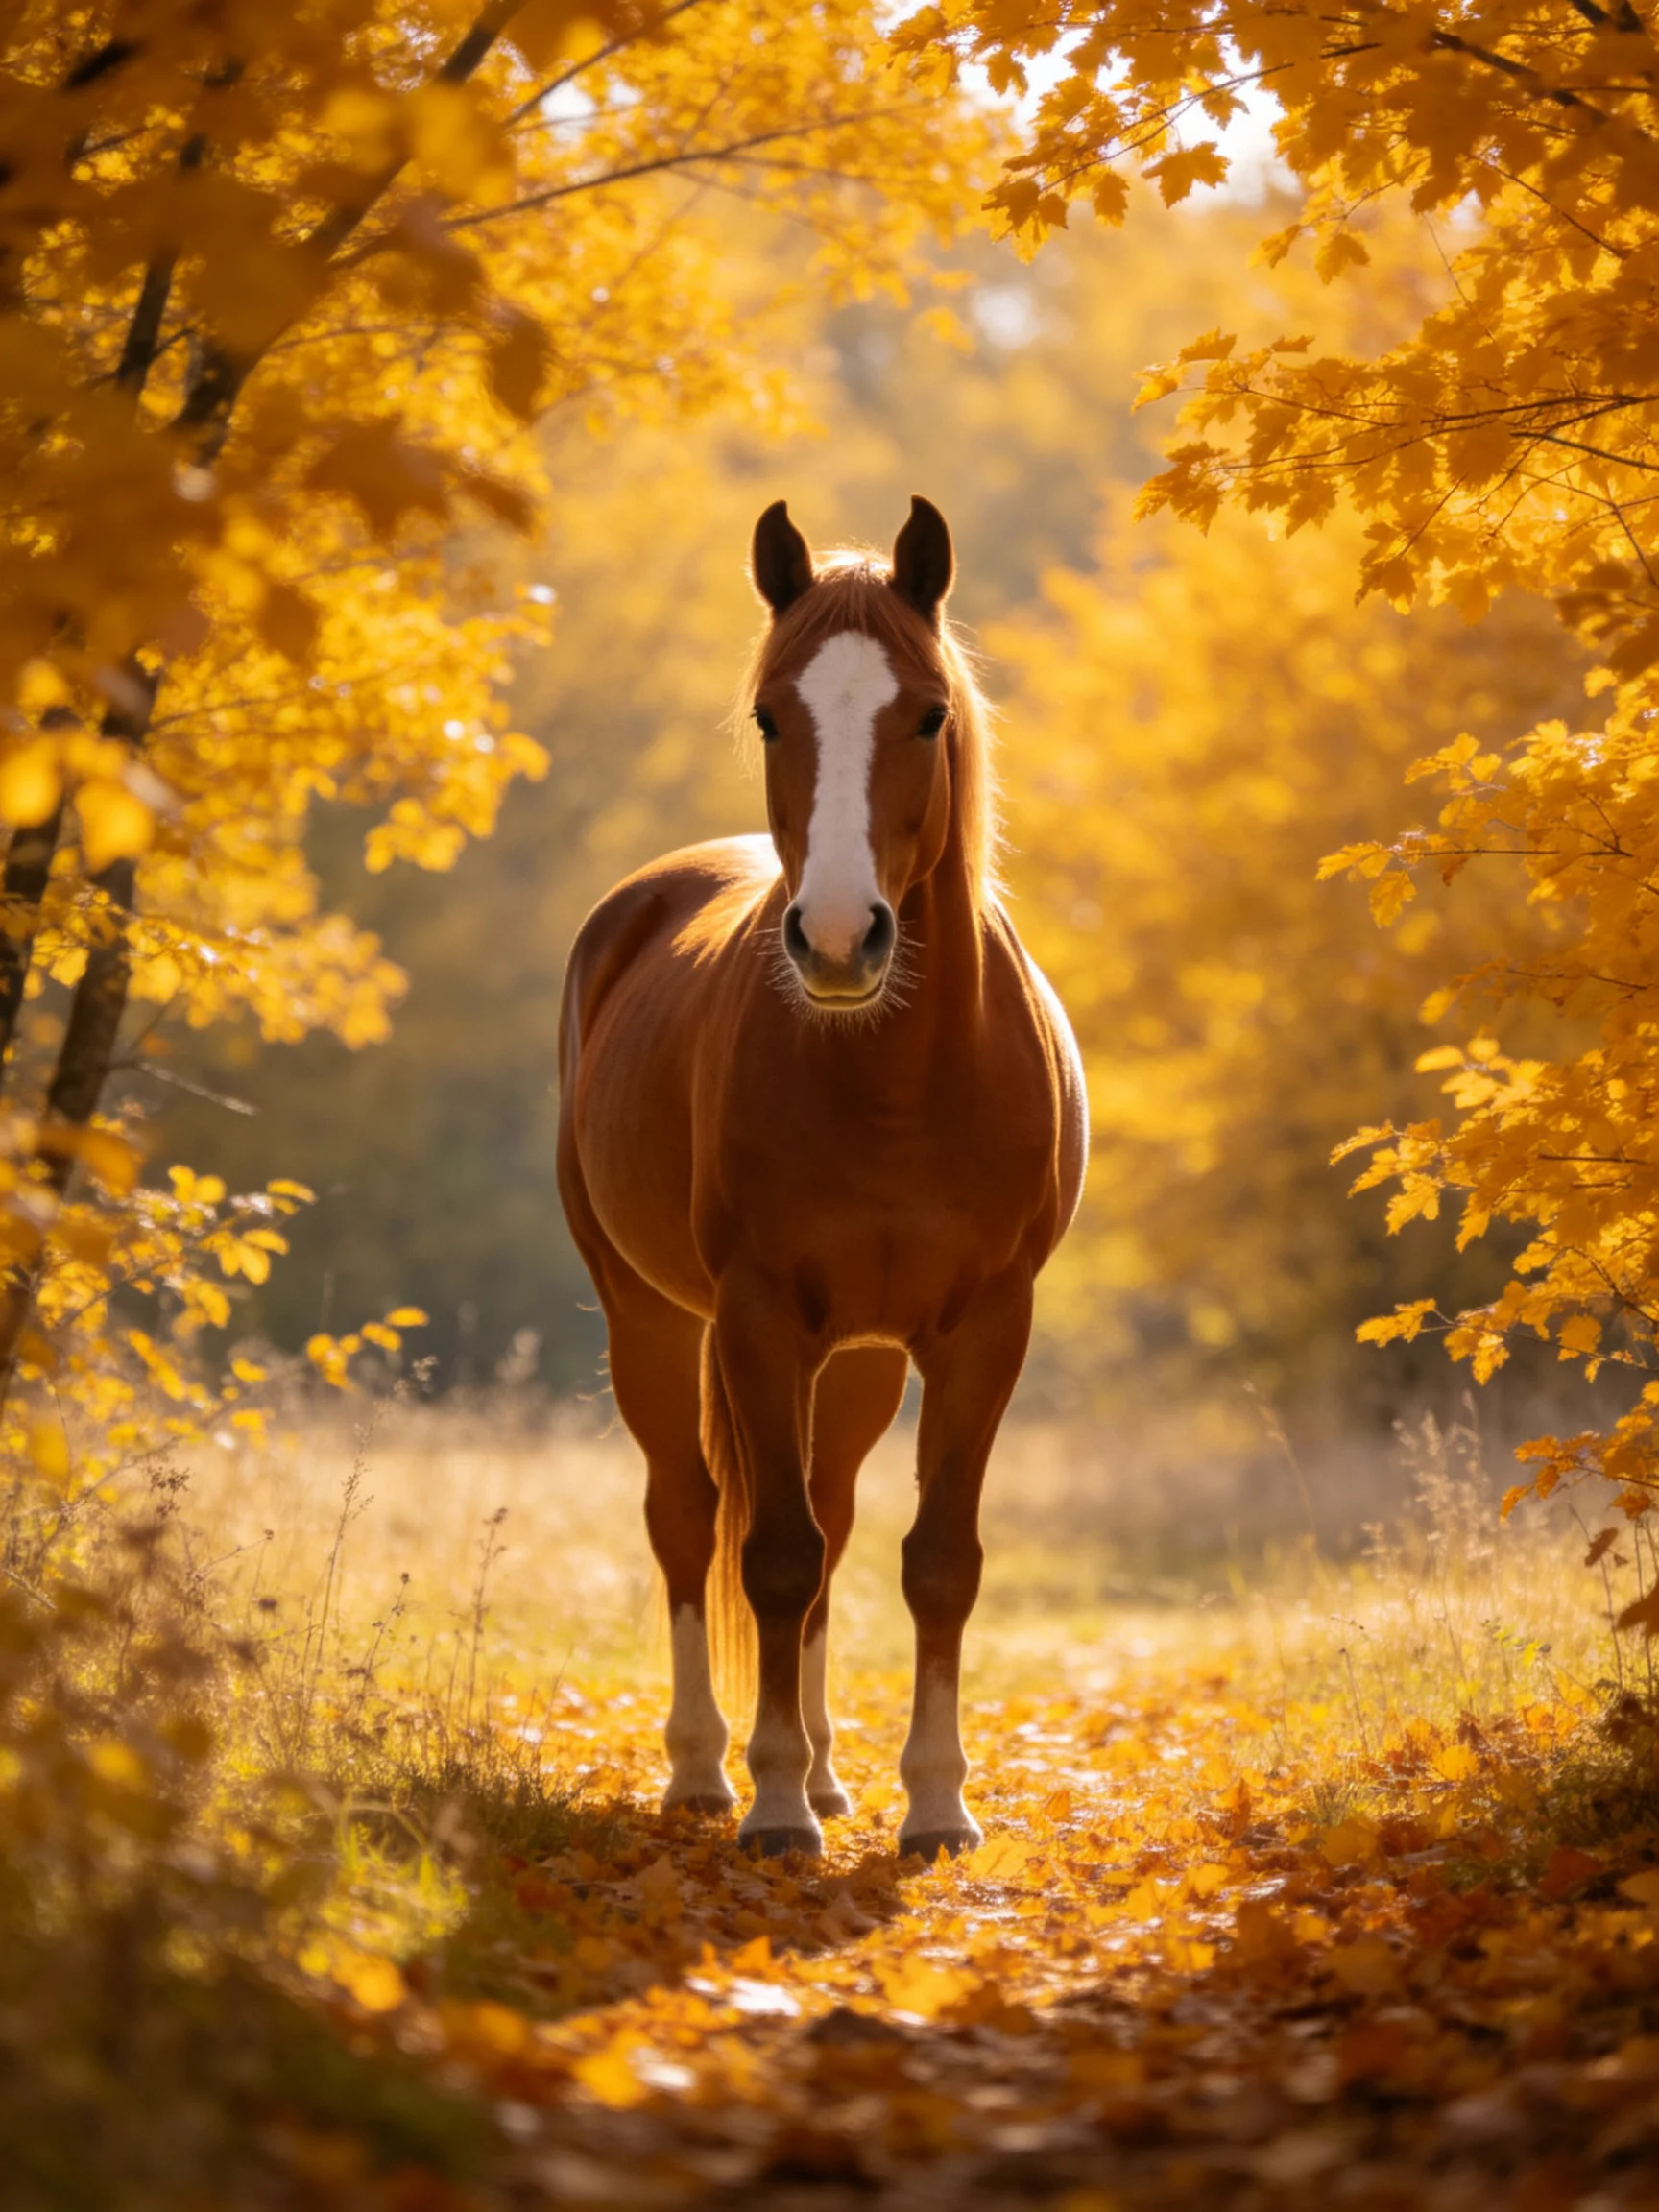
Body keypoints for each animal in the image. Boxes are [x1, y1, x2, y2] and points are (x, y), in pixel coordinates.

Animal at [557, 496, 1087, 1858]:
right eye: (768, 716)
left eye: (930, 714)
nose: (841, 941)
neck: (894, 1075)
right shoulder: (755, 1318)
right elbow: (774, 1556)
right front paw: (777, 1803)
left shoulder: (983, 1328)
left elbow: (934, 1559)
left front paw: (936, 1804)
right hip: (650, 1318)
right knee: (690, 1518)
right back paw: (705, 1771)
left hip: (855, 1365)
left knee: (837, 1521)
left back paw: (837, 1773)